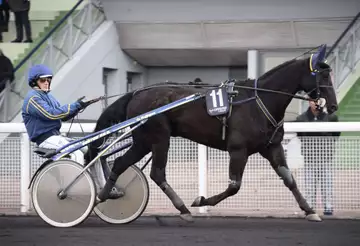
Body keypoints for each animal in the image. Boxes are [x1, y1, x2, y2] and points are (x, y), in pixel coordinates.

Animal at [83, 44, 338, 223]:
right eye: (323, 75)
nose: (333, 106)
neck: (260, 100)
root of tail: (137, 92)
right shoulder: (238, 150)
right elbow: (234, 186)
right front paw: (201, 200)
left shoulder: (271, 147)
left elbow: (289, 179)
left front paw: (310, 210)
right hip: (159, 138)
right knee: (156, 173)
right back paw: (183, 209)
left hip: (143, 141)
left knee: (119, 163)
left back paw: (105, 195)